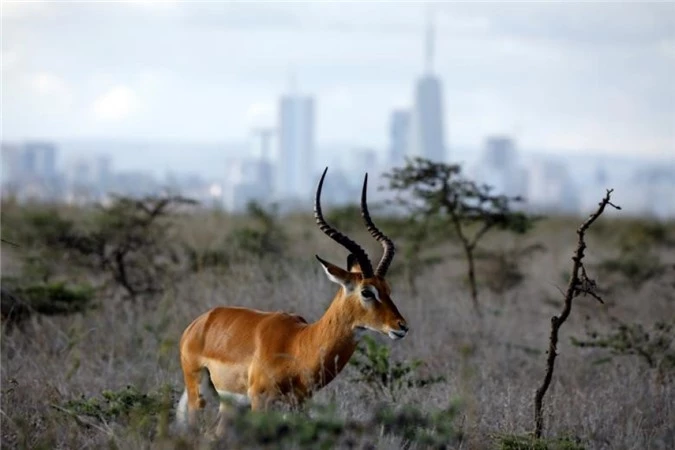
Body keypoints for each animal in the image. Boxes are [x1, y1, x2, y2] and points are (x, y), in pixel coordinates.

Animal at [176, 167, 406, 434]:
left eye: (387, 288)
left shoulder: (299, 404)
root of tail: (198, 323)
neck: (298, 344)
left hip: (230, 405)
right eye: (367, 292)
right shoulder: (261, 401)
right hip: (199, 394)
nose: (401, 326)